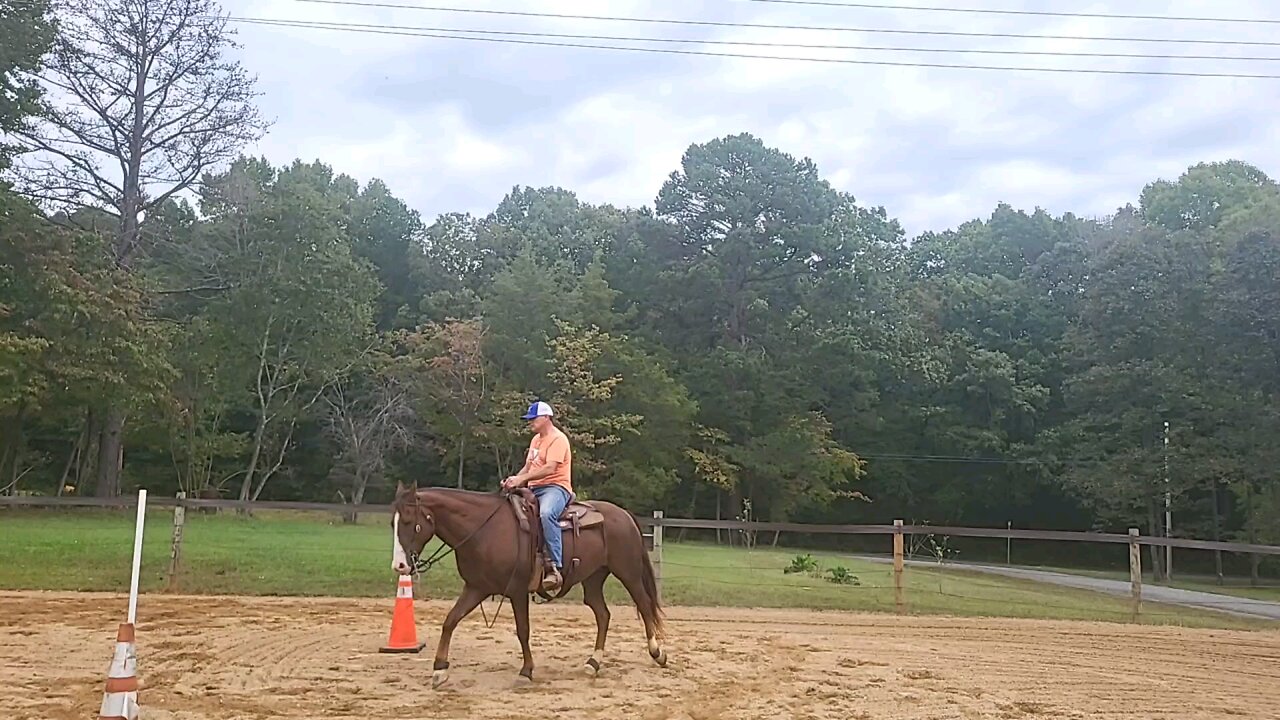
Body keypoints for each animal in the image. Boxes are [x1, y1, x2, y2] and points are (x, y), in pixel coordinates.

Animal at [389, 479, 670, 681]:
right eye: (393, 523)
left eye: (408, 521)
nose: (399, 566)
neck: (484, 529)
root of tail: (625, 515)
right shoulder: (477, 587)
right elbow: (450, 621)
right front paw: (439, 669)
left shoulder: (516, 590)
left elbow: (523, 630)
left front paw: (526, 671)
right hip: (593, 578)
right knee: (603, 614)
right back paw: (593, 663)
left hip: (628, 572)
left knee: (644, 605)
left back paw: (657, 653)